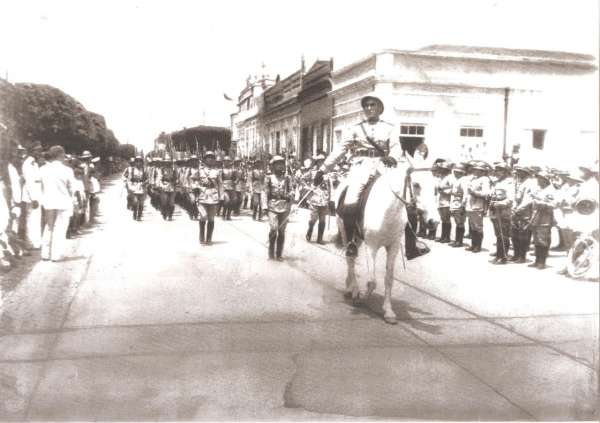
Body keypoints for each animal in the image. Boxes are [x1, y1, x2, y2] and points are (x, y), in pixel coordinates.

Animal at [336, 162, 428, 324]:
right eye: (416, 184)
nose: (431, 219)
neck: (388, 211)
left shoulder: (393, 247)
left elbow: (389, 279)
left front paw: (388, 311)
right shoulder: (371, 246)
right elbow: (372, 281)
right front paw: (361, 297)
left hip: (358, 238)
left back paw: (349, 288)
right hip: (345, 231)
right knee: (350, 259)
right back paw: (353, 289)